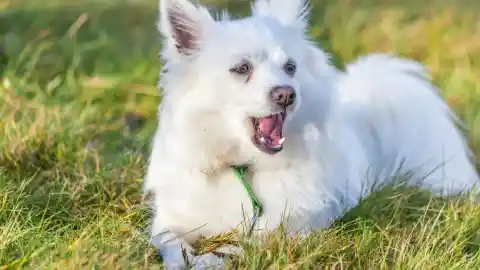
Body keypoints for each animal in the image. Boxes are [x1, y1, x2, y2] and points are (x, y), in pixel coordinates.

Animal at [143, 0, 480, 266]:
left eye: (290, 67)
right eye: (241, 68)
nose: (286, 94)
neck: (244, 167)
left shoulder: (292, 230)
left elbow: (242, 245)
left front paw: (212, 258)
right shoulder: (170, 220)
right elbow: (169, 242)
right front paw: (186, 259)